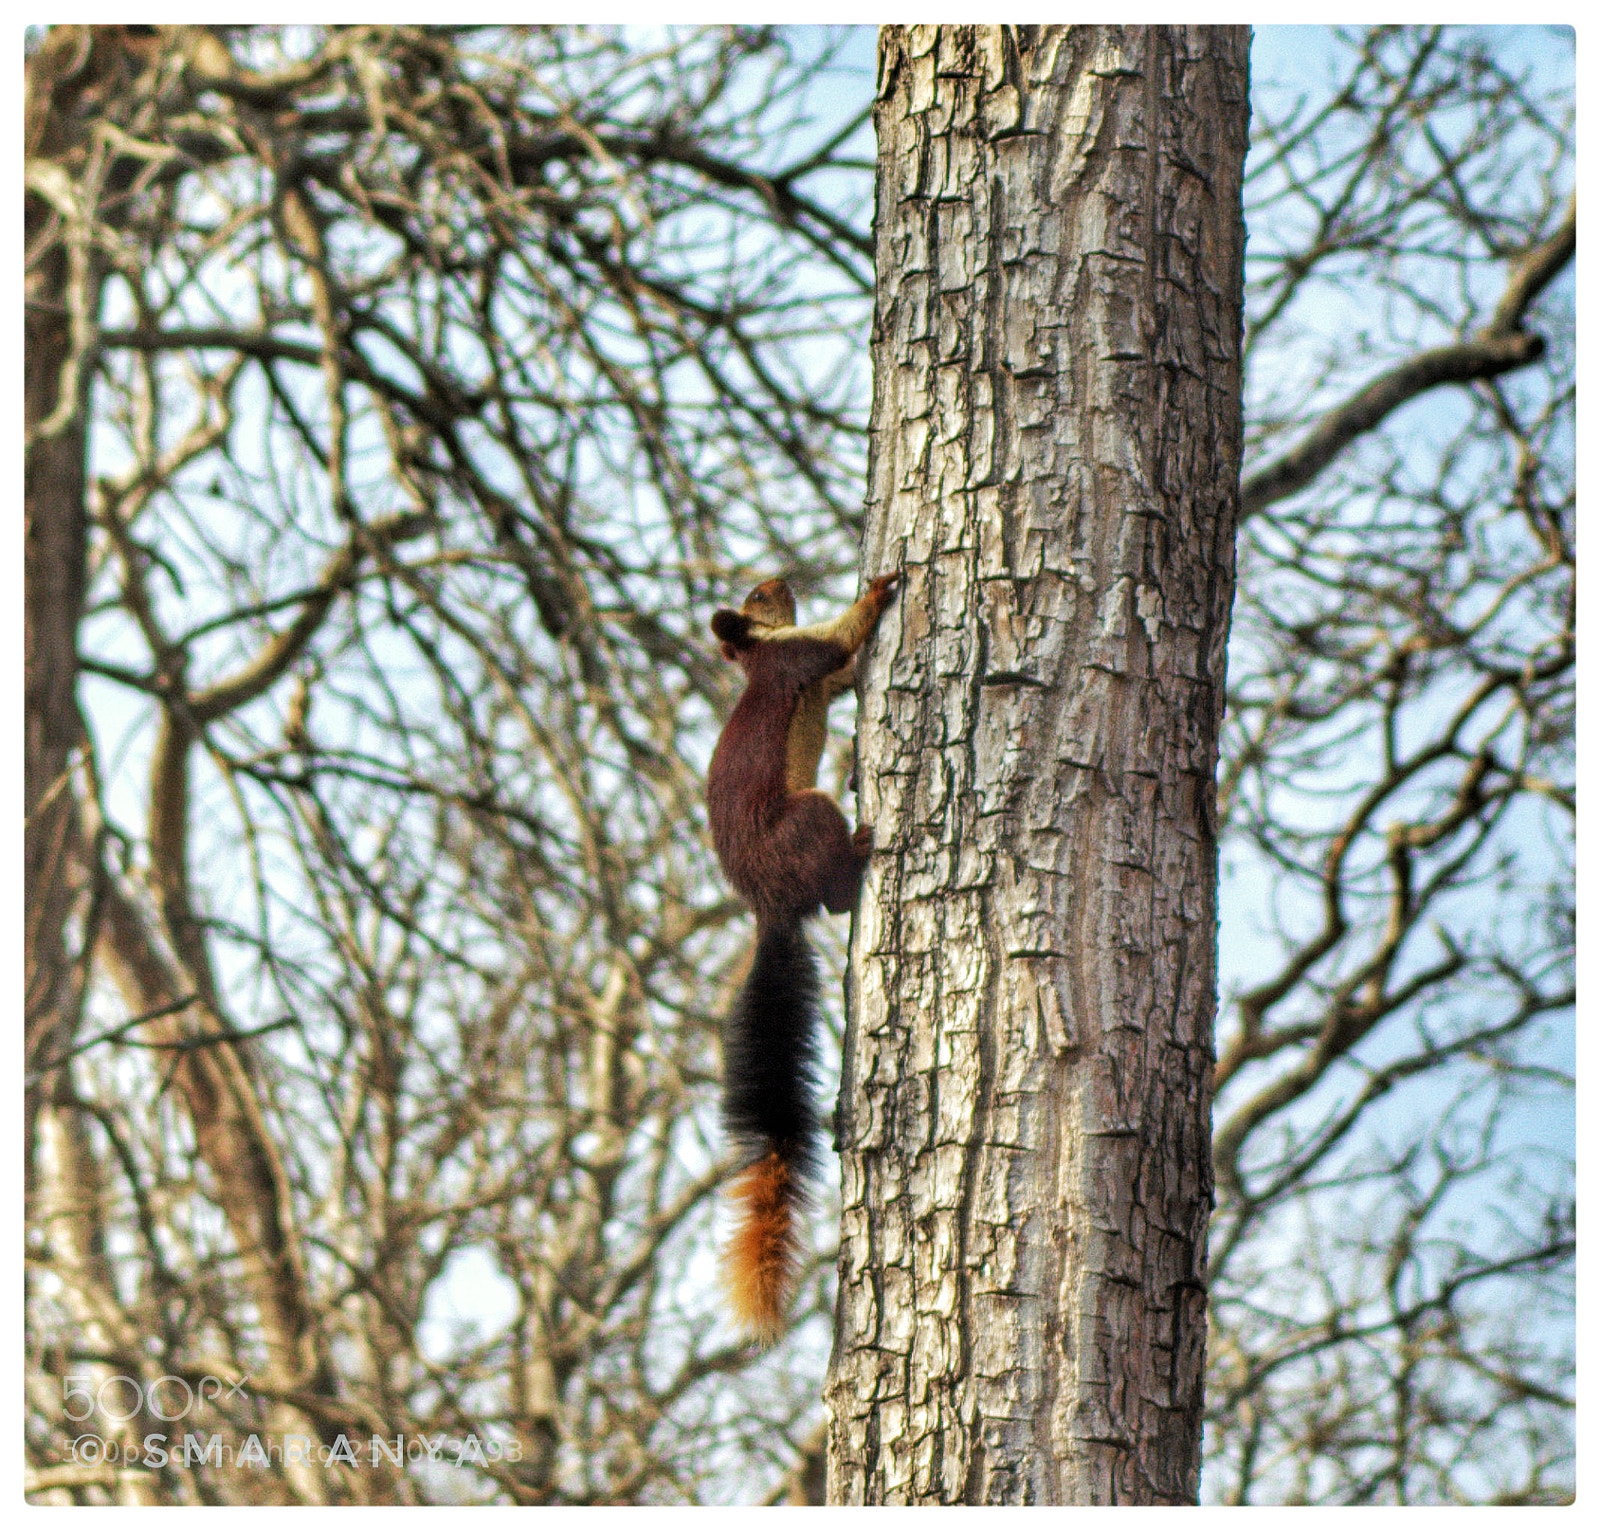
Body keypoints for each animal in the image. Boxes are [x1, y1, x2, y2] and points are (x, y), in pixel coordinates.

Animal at [706, 571, 899, 1340]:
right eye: (758, 602)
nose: (778, 579)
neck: (756, 655)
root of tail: (769, 904)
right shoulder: (795, 656)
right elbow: (841, 642)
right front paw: (879, 590)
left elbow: (845, 673)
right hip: (805, 819)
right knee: (836, 896)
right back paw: (860, 849)